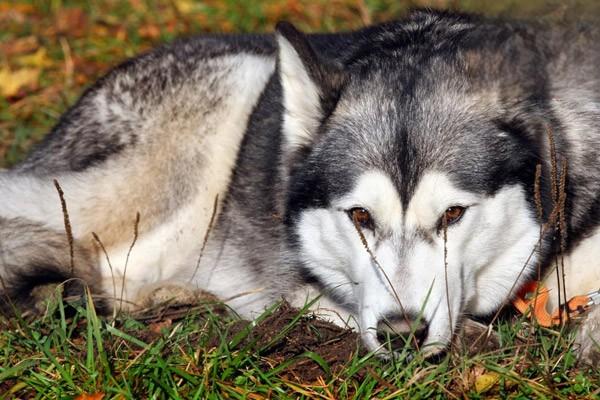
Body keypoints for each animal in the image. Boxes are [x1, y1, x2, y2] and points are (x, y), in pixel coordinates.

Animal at [1, 8, 600, 360]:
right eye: (360, 217)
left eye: (453, 214)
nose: (402, 333)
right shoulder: (293, 273)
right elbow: (309, 296)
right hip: (224, 97)